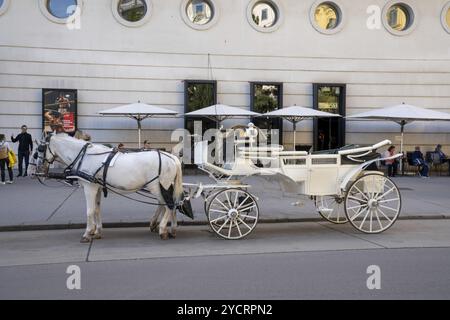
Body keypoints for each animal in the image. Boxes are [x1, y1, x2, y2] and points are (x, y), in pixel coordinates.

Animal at [29, 131, 185, 241]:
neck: (85, 156)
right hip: (163, 187)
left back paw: (163, 229)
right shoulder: (97, 187)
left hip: (158, 187)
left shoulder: (89, 187)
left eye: (39, 150)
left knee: (169, 205)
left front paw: (87, 233)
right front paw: (97, 231)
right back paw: (171, 229)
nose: (32, 171)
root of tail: (171, 157)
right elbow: (97, 209)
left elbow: (90, 211)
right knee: (170, 204)